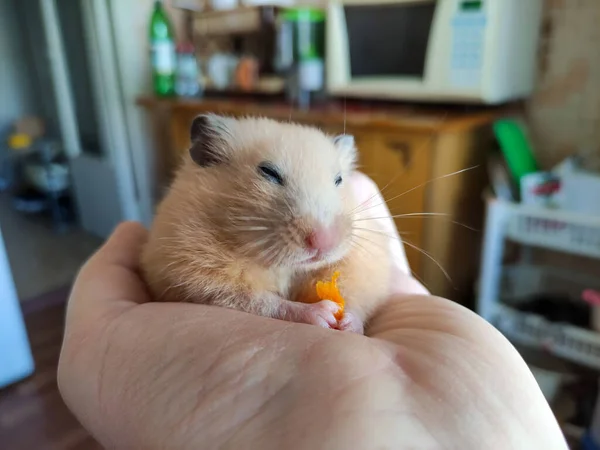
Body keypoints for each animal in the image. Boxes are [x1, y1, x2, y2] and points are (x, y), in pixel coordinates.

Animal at [141, 115, 394, 334]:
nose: (324, 243)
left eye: (339, 179)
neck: (286, 267)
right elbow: (264, 302)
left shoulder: (367, 263)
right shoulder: (191, 274)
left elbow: (356, 298)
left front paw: (347, 323)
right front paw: (323, 314)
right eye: (269, 173)